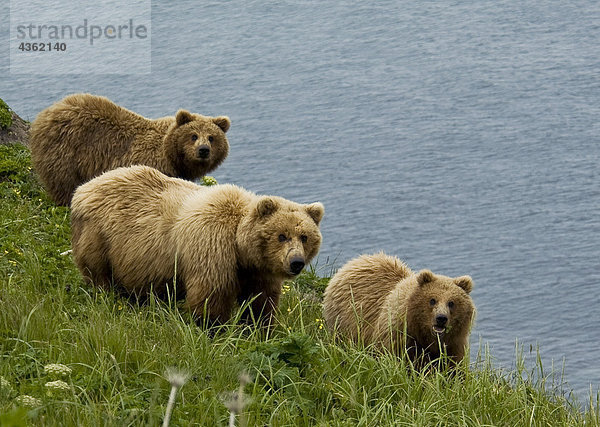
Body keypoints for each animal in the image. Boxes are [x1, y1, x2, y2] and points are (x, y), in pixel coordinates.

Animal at [28, 94, 231, 207]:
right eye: (193, 135)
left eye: (212, 137)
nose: (203, 150)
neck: (170, 155)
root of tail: (48, 112)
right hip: (65, 150)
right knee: (64, 182)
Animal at [69, 165, 324, 324]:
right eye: (282, 235)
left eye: (304, 236)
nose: (296, 262)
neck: (240, 248)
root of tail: (82, 189)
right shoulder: (211, 247)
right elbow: (210, 297)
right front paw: (212, 328)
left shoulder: (257, 271)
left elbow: (260, 303)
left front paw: (258, 328)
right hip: (100, 237)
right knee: (99, 275)